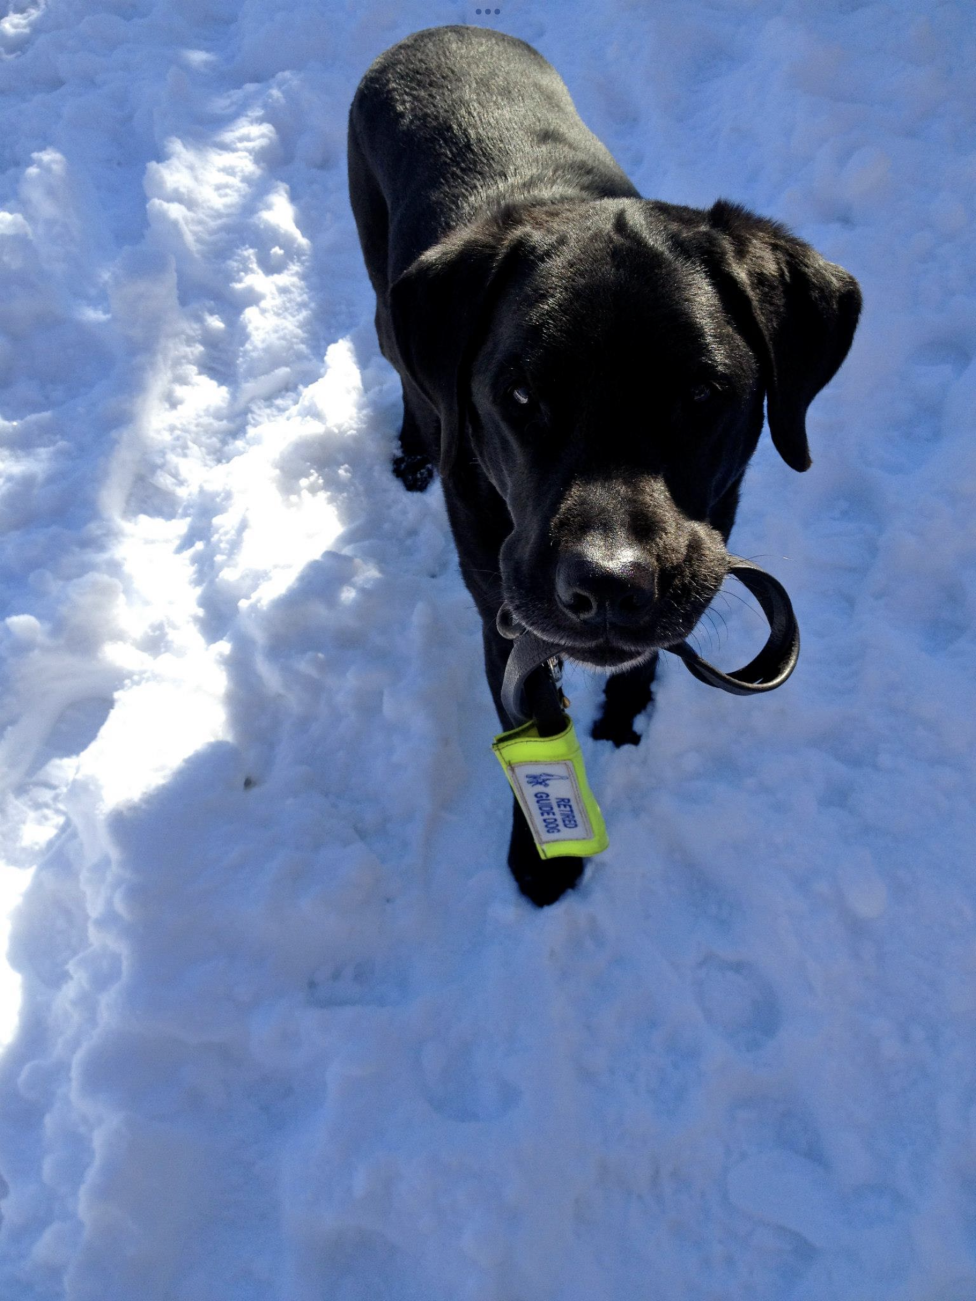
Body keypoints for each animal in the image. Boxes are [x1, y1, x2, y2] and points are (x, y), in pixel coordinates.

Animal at [346, 27, 864, 905]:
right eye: (519, 395)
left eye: (702, 392)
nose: (610, 585)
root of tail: (439, 29)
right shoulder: (502, 615)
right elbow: (532, 723)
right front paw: (543, 856)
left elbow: (643, 659)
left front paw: (624, 718)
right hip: (387, 295)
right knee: (405, 369)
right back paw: (416, 448)